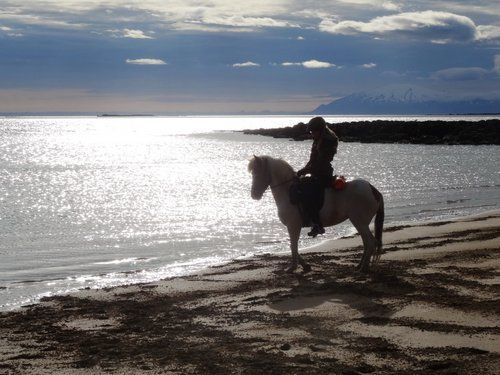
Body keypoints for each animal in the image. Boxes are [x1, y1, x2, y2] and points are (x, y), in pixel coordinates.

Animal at [248, 155, 384, 274]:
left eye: (257, 173)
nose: (254, 195)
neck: (288, 192)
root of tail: (373, 190)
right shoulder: (293, 227)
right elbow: (293, 246)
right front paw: (305, 266)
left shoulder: (293, 226)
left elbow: (293, 246)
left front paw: (292, 267)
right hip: (360, 223)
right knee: (367, 243)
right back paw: (360, 266)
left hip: (359, 222)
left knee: (370, 243)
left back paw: (363, 268)